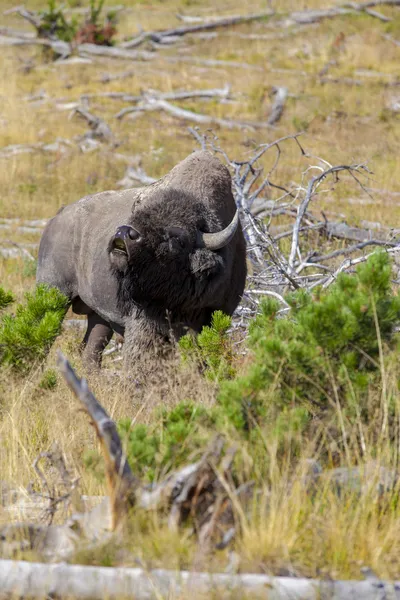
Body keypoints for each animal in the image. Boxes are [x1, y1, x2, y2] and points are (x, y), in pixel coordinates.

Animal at [36, 150, 247, 366]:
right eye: (136, 217)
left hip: (99, 317)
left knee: (91, 351)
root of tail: (58, 217)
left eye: (178, 238)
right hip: (55, 292)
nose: (123, 233)